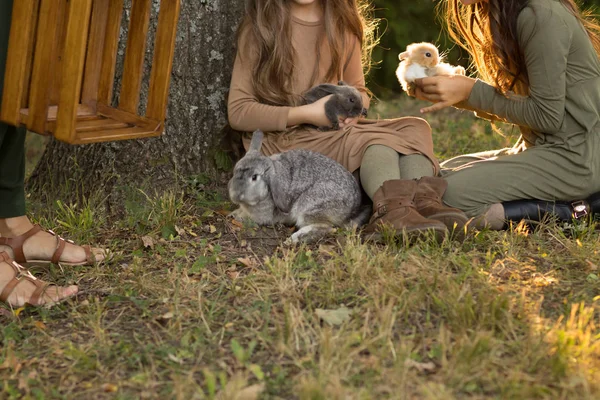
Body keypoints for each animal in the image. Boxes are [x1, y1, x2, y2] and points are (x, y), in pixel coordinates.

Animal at [229, 131, 370, 244]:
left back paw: (295, 239)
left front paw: (238, 217)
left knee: (326, 227)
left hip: (310, 205)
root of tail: (352, 209)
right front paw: (233, 214)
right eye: (235, 170)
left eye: (254, 177)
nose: (235, 194)